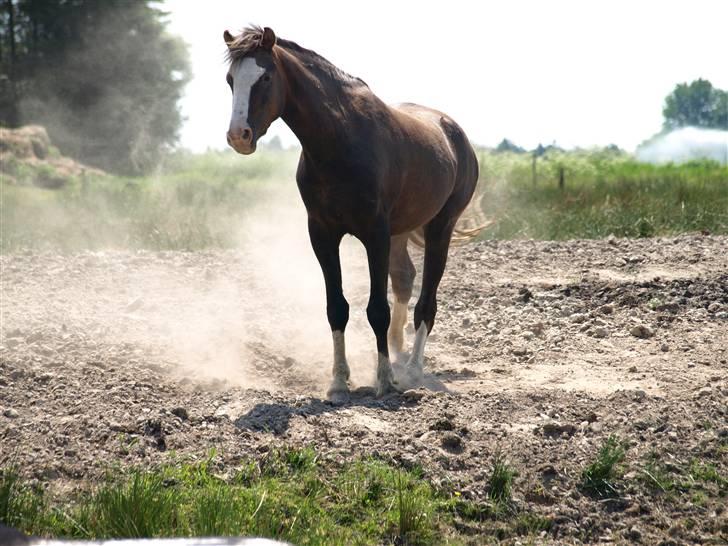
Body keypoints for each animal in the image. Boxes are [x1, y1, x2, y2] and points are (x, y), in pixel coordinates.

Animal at [225, 25, 480, 400]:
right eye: (230, 79)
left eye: (266, 77)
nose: (238, 136)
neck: (339, 140)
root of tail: (453, 132)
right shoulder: (322, 234)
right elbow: (337, 308)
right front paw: (338, 380)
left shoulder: (375, 235)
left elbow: (377, 310)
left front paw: (384, 380)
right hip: (401, 233)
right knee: (404, 279)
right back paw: (398, 351)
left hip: (440, 229)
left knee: (426, 302)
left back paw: (412, 370)